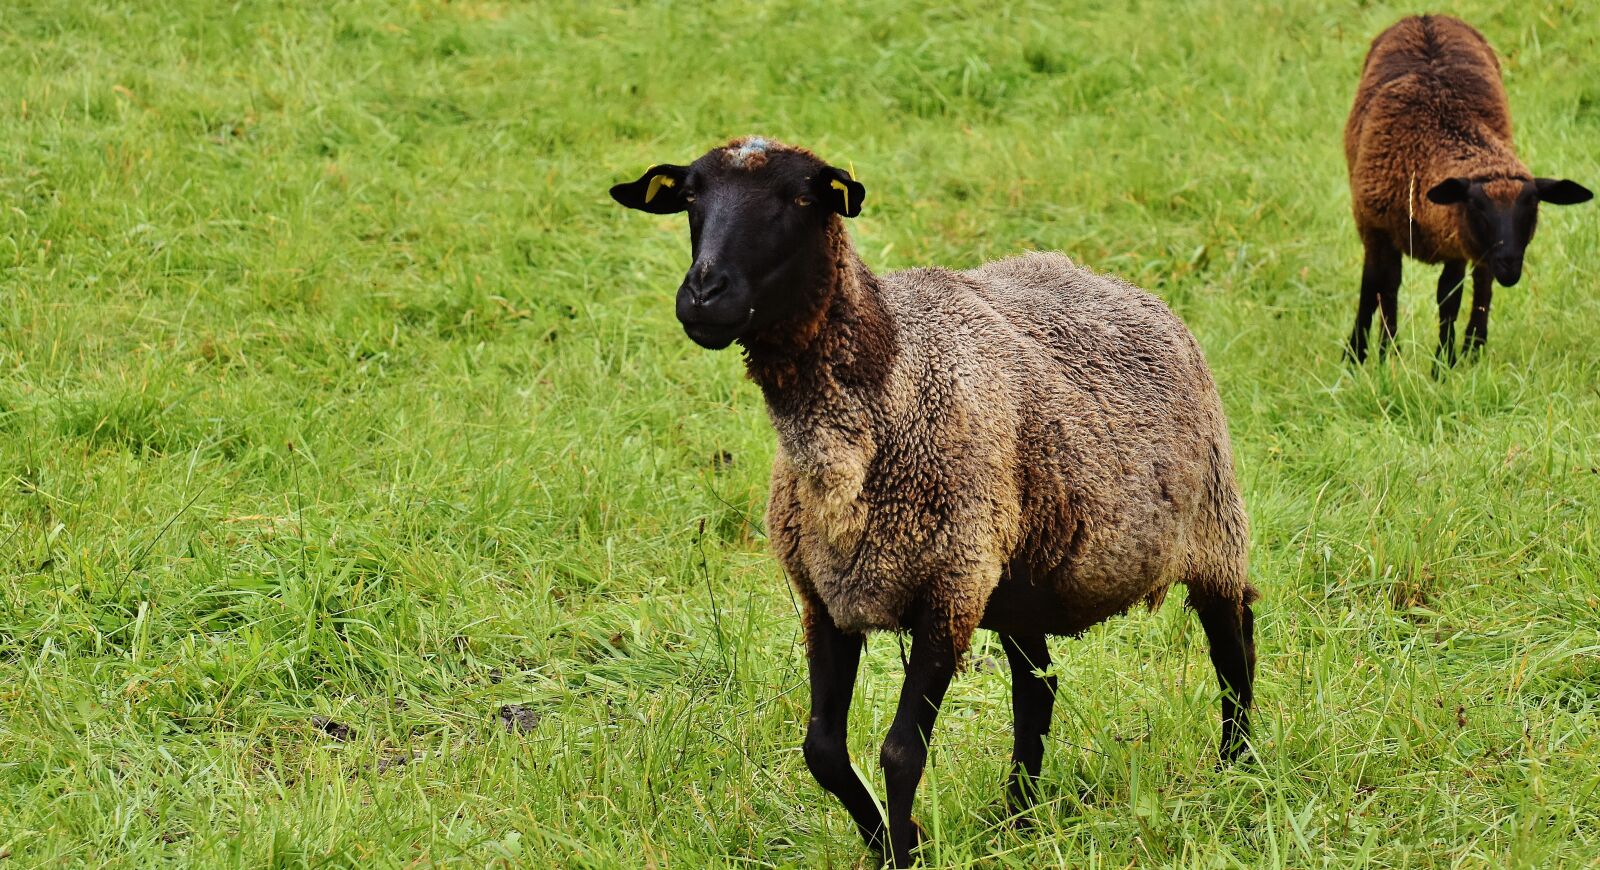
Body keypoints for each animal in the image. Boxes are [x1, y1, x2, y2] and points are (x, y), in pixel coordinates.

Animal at [611, 137, 1256, 867]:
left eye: (800, 198)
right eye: (691, 197)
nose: (703, 294)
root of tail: (1116, 282)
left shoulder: (948, 589)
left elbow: (899, 753)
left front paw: (907, 849)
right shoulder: (826, 595)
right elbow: (822, 751)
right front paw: (892, 843)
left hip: (1210, 528)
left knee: (1233, 648)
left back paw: (1236, 769)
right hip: (1019, 577)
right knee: (1037, 688)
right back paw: (1018, 817)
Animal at [1344, 14, 1592, 366]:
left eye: (1533, 207)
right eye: (1476, 206)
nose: (1510, 265)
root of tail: (1426, 16)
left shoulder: (1455, 242)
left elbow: (1450, 296)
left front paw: (1443, 364)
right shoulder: (1379, 228)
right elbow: (1383, 286)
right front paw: (1385, 357)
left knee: (1482, 281)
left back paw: (1474, 348)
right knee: (1374, 282)